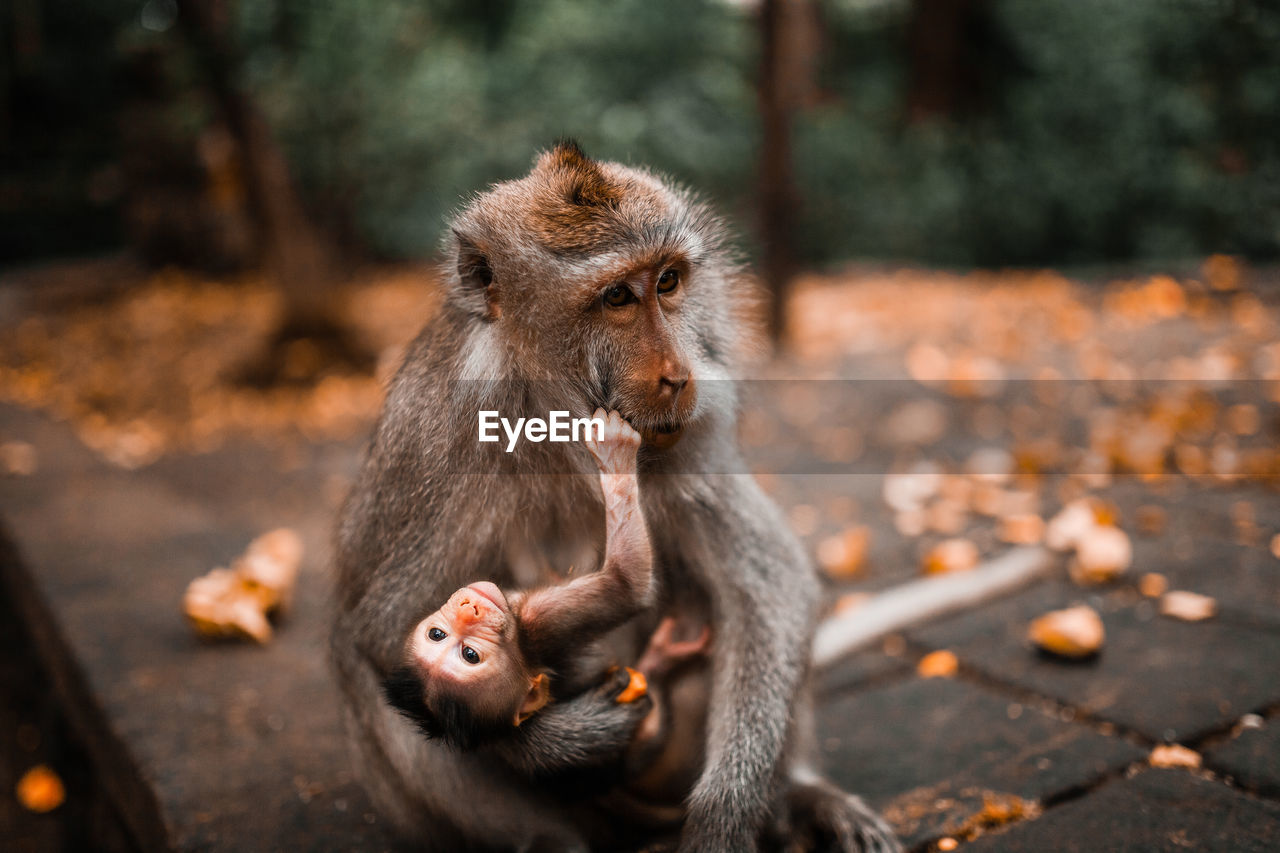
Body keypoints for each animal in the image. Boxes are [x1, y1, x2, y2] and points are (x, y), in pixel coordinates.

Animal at [381, 409, 711, 747]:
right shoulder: (538, 620)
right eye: (470, 655)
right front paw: (614, 454)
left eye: (436, 634)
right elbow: (627, 581)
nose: (469, 610)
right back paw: (662, 660)